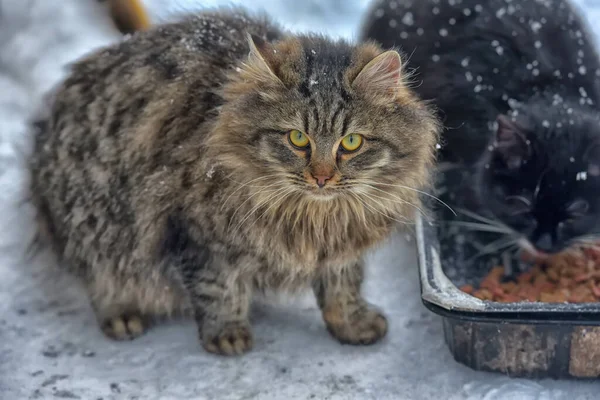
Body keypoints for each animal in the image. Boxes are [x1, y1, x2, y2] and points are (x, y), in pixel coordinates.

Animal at [28, 7, 438, 354]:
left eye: (351, 142)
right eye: (297, 138)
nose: (321, 176)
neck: (312, 217)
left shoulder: (342, 247)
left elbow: (343, 286)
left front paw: (352, 324)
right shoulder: (199, 234)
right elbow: (218, 289)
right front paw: (226, 334)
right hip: (97, 225)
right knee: (100, 276)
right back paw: (122, 314)